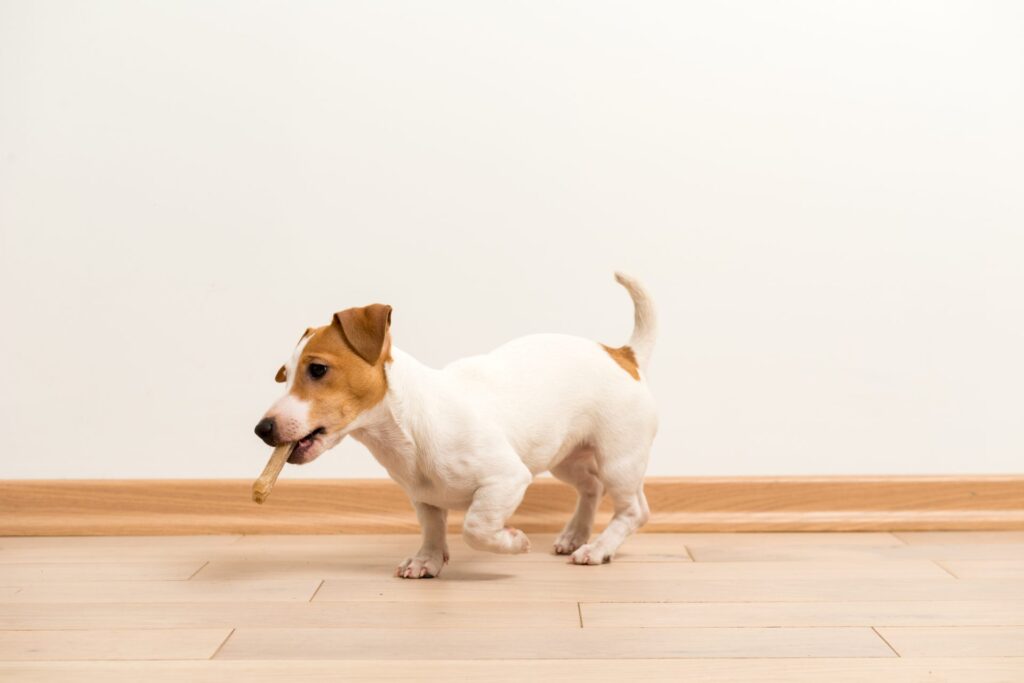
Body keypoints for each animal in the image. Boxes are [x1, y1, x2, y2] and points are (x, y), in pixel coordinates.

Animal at [251, 272, 659, 577]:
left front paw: (513, 542)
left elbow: (475, 527)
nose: (262, 429)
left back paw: (599, 548)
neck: (411, 425)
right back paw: (575, 535)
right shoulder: (424, 497)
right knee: (591, 487)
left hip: (618, 459)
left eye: (318, 369)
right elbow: (433, 528)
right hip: (564, 457)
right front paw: (427, 560)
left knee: (634, 510)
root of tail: (624, 355)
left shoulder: (507, 479)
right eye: (284, 375)